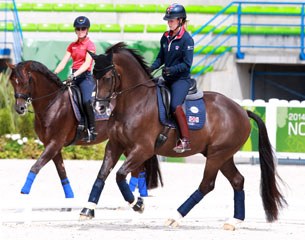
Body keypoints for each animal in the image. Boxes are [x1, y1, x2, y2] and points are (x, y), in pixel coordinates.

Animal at [7, 60, 162, 201]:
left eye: (26, 82)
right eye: (13, 82)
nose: (20, 108)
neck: (54, 103)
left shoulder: (55, 143)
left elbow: (36, 166)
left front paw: (24, 190)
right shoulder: (51, 145)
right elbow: (61, 170)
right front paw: (70, 195)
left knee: (139, 169)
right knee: (139, 169)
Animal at [79, 42, 286, 230]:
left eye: (107, 77)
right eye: (94, 76)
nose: (99, 107)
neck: (135, 102)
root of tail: (242, 111)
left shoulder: (142, 150)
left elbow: (120, 175)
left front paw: (137, 204)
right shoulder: (115, 145)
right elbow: (102, 174)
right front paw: (87, 209)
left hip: (217, 155)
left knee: (207, 185)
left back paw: (175, 217)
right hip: (222, 156)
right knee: (237, 180)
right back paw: (234, 221)